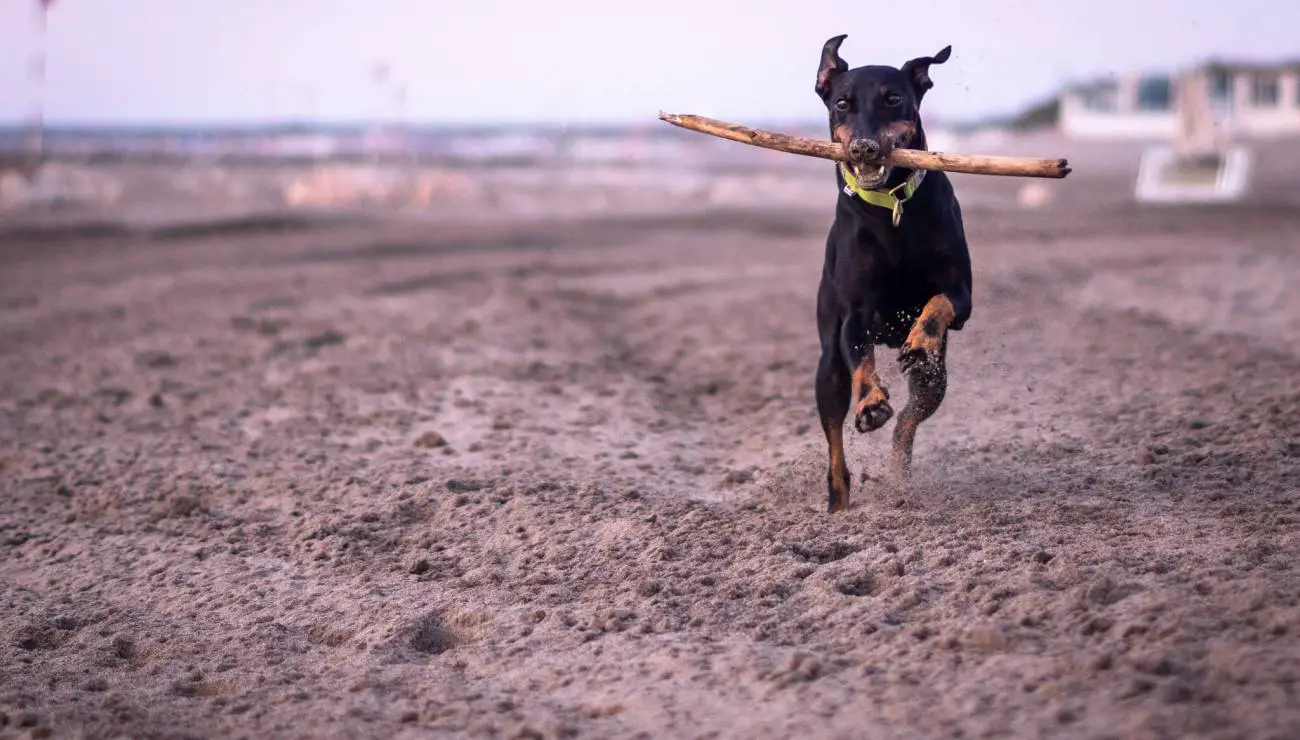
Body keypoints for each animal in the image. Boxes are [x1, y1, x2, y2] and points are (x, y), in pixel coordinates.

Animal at [816, 33, 972, 507]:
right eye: (842, 103)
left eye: (893, 98)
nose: (864, 147)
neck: (891, 207)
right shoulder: (855, 313)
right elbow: (862, 360)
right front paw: (870, 403)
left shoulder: (963, 294)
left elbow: (939, 302)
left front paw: (920, 340)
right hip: (826, 369)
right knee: (834, 437)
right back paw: (839, 498)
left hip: (934, 382)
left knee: (909, 421)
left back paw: (898, 472)